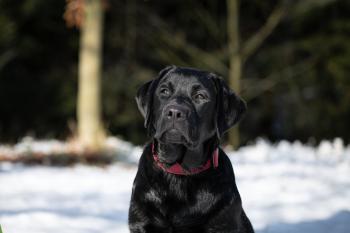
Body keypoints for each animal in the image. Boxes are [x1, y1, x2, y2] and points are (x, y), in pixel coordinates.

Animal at [129, 66, 254, 233]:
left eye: (200, 96)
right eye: (164, 91)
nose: (175, 112)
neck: (179, 172)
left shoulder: (221, 222)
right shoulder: (141, 221)